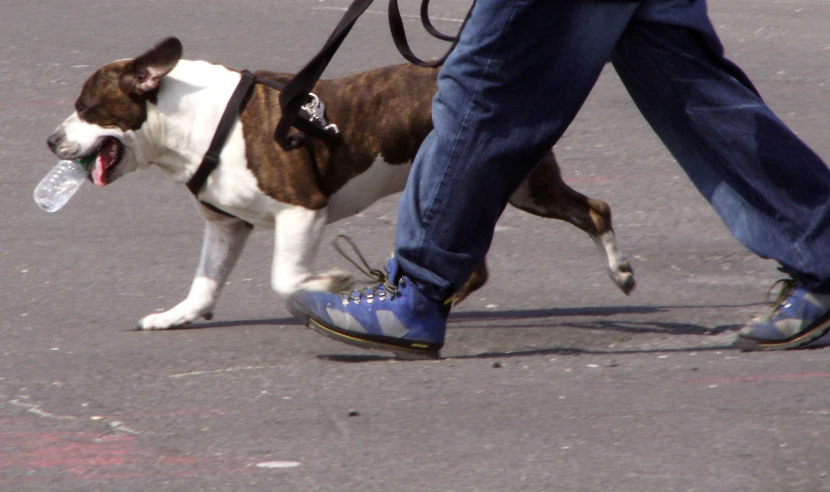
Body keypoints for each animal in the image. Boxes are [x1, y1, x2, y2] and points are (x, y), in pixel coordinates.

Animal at [45, 37, 636, 330]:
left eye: (86, 107)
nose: (51, 140)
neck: (192, 119)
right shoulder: (226, 226)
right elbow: (205, 281)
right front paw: (179, 316)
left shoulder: (302, 210)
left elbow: (286, 278)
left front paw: (330, 283)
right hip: (502, 184)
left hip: (524, 184)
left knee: (596, 210)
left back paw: (619, 272)